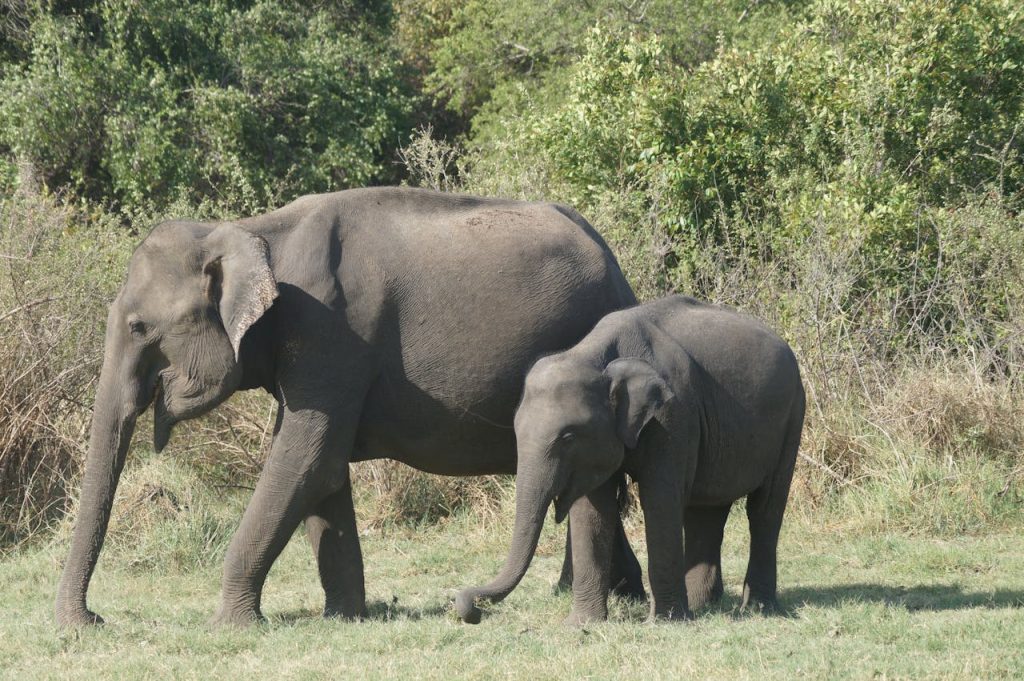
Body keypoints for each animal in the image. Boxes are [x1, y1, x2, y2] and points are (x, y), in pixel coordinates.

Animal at [54, 187, 648, 628]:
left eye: (138, 327)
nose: (90, 621)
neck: (251, 231)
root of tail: (616, 265)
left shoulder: (330, 335)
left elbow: (306, 458)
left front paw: (231, 625)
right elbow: (323, 467)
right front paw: (344, 616)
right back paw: (615, 596)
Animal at [456, 295, 805, 624]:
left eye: (568, 437)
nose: (470, 610)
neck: (594, 355)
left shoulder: (673, 414)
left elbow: (660, 499)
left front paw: (664, 622)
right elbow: (592, 510)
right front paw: (581, 624)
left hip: (792, 417)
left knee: (764, 509)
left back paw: (756, 608)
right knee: (707, 510)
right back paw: (702, 607)